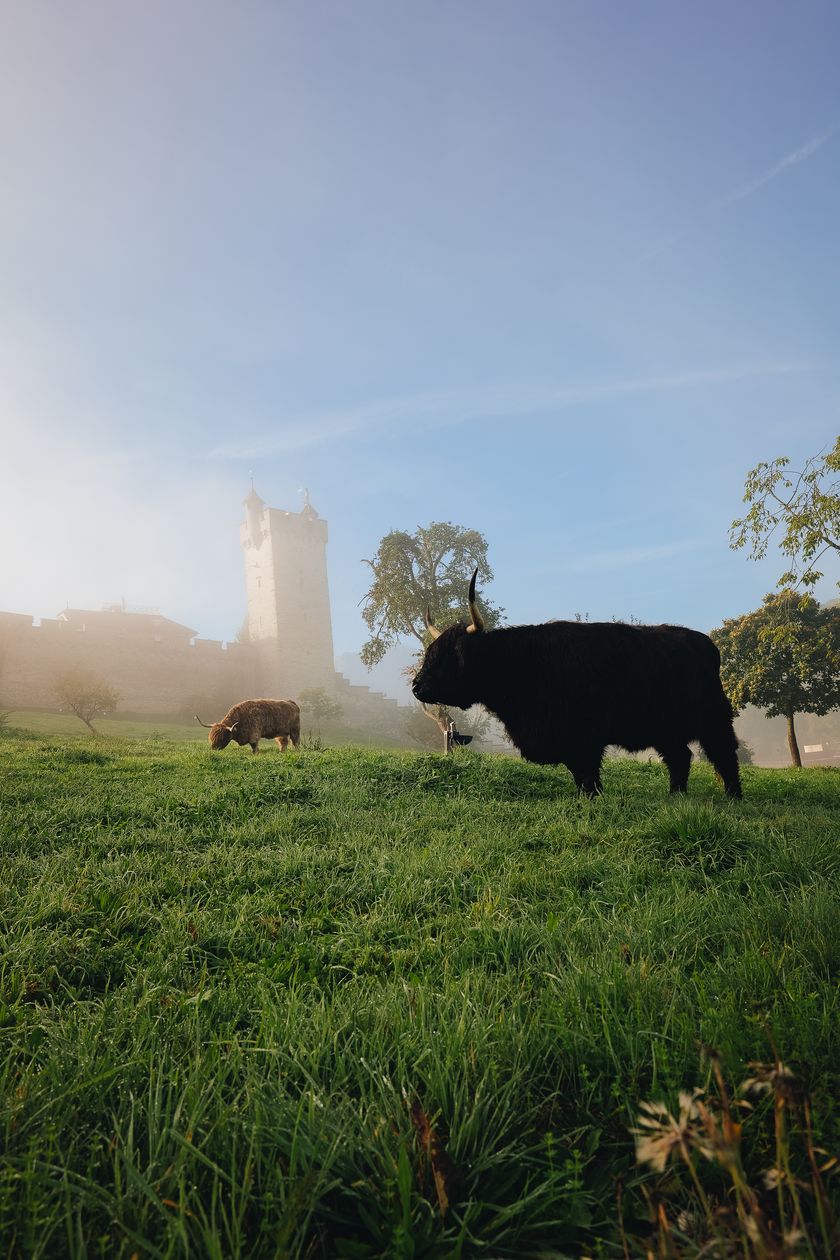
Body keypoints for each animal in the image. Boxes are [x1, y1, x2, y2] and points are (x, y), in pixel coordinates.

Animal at [412, 572, 741, 799]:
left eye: (447, 656)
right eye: (430, 653)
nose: (416, 687)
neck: (523, 664)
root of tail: (705, 643)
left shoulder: (585, 736)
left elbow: (588, 772)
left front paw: (592, 797)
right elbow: (579, 773)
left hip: (714, 720)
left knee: (724, 754)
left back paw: (733, 796)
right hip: (665, 729)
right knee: (680, 758)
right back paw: (676, 795)